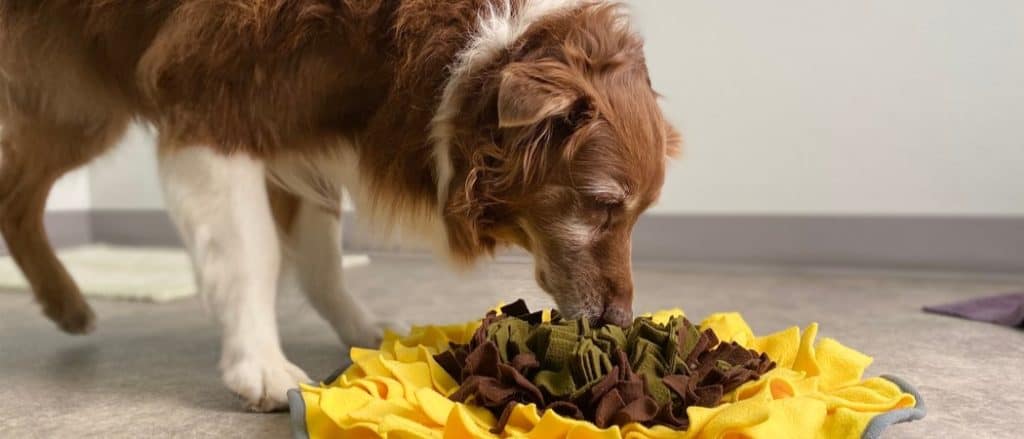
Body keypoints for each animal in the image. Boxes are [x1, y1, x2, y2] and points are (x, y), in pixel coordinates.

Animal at [4, 0, 684, 411]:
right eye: (603, 205)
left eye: (641, 213)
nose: (621, 321)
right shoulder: (211, 106)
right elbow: (251, 255)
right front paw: (262, 367)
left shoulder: (306, 134)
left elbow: (322, 258)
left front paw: (360, 331)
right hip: (81, 97)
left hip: (78, 108)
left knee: (14, 194)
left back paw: (64, 304)